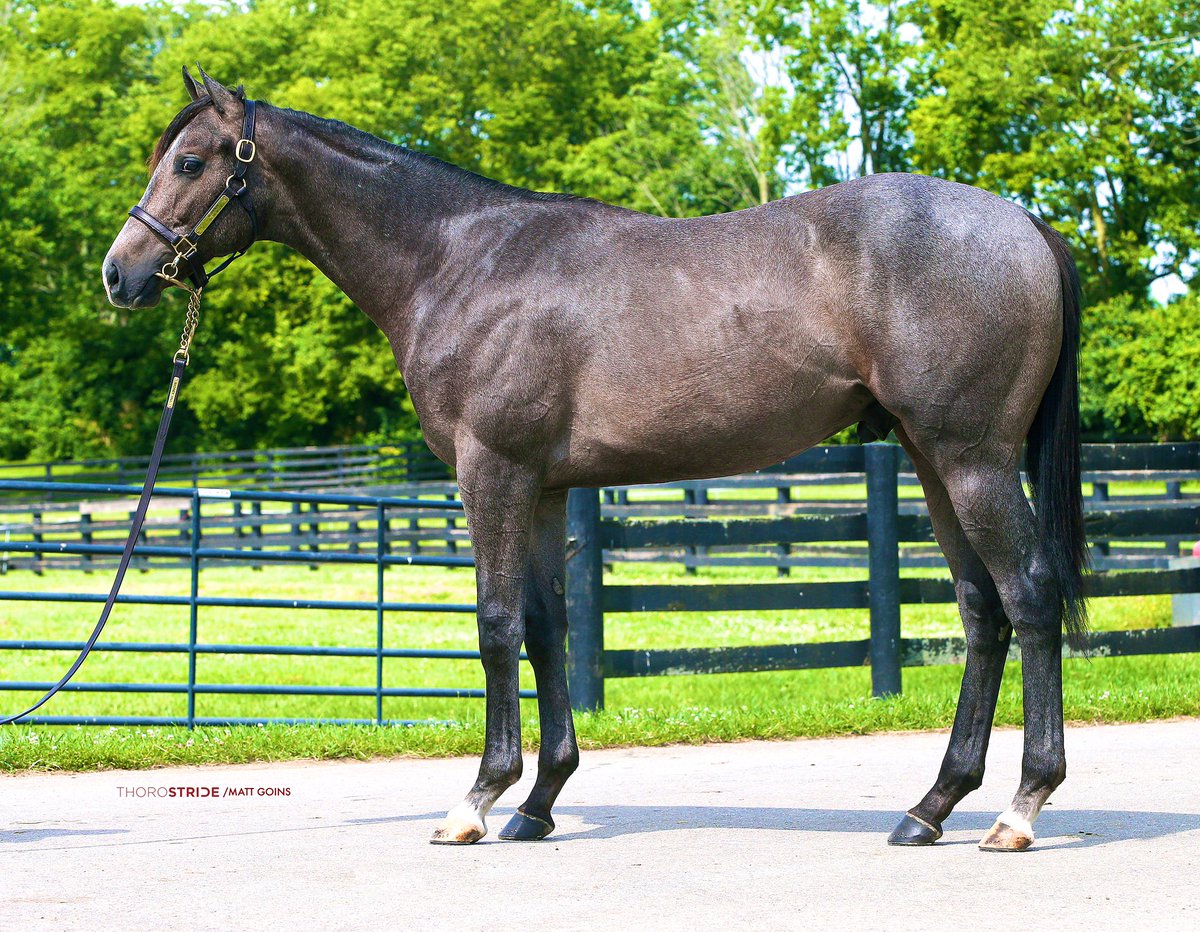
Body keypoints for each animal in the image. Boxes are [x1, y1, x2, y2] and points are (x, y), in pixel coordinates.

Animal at [105, 68, 1089, 854]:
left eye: (189, 163)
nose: (121, 274)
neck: (459, 261)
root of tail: (1024, 222)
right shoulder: (542, 489)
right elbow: (548, 630)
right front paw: (537, 802)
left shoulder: (491, 472)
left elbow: (496, 625)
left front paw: (476, 800)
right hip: (931, 459)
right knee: (982, 612)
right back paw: (931, 807)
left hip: (971, 458)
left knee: (1030, 598)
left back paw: (1019, 809)